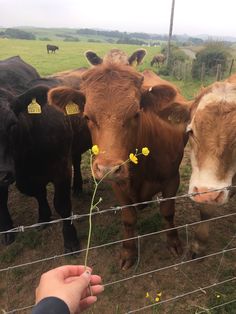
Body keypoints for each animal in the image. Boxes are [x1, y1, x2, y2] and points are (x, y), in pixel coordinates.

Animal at [0, 84, 79, 251]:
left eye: (12, 124)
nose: (1, 175)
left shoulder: (62, 168)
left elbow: (62, 204)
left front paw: (70, 240)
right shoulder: (25, 178)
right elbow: (38, 193)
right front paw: (43, 217)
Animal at [48, 49, 190, 270]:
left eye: (136, 113)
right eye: (87, 117)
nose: (108, 169)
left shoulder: (172, 179)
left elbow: (168, 211)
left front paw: (174, 243)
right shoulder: (119, 186)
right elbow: (128, 219)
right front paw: (128, 252)